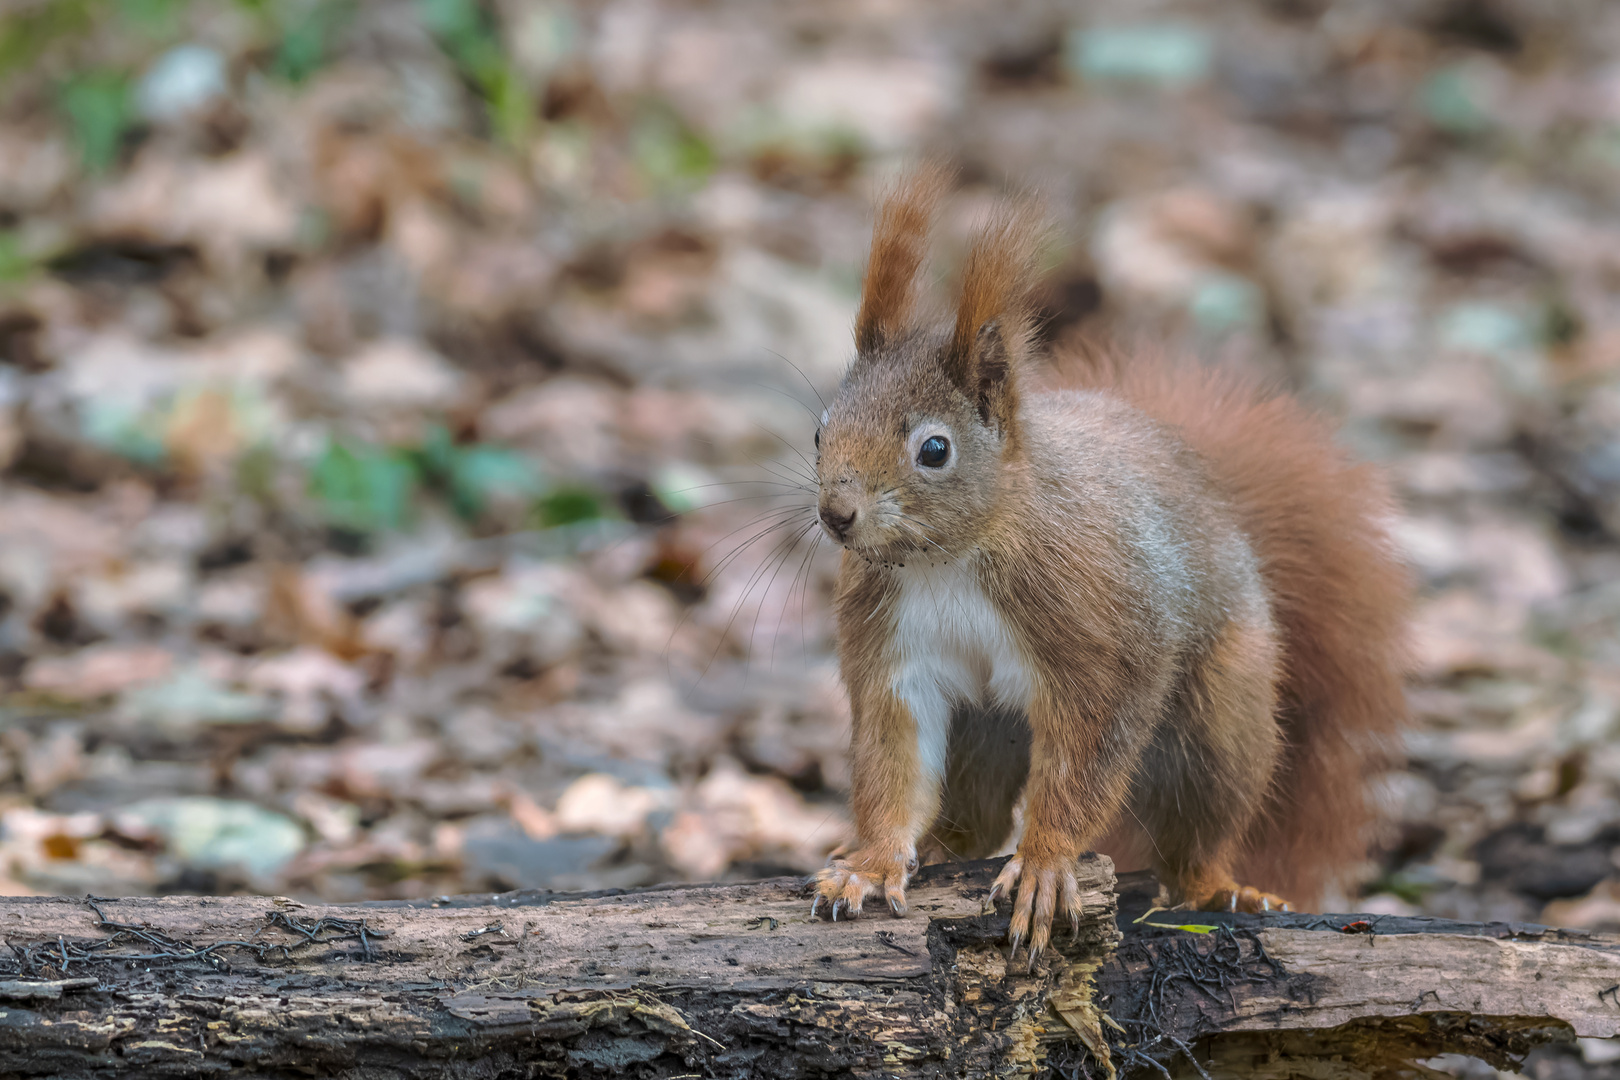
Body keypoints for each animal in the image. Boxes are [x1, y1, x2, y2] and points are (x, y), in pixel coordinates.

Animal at [810, 166, 1406, 965]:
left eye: (934, 449)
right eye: (820, 431)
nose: (836, 514)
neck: (948, 559)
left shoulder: (1098, 630)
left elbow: (1089, 754)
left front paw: (1047, 863)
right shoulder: (892, 648)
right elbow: (891, 759)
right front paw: (871, 864)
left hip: (1221, 717)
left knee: (1199, 825)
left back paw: (1223, 887)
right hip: (985, 731)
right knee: (973, 820)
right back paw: (935, 851)